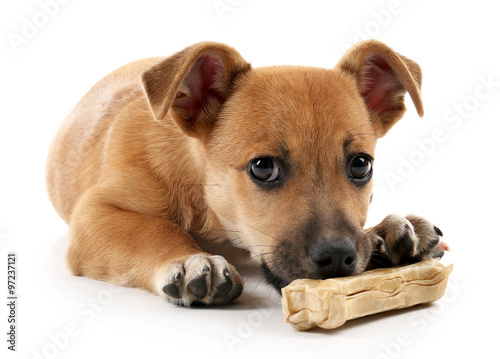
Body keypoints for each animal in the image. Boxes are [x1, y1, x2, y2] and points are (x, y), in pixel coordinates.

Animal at [47, 41, 448, 306]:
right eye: (263, 167)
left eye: (361, 165)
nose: (337, 257)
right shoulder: (94, 215)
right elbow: (153, 228)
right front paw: (189, 259)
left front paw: (384, 231)